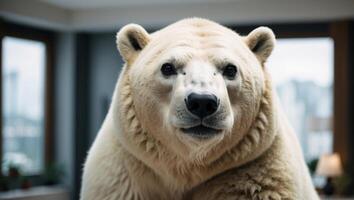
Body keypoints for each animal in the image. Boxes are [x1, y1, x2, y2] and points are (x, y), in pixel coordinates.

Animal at [81, 18, 320, 199]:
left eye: (230, 69)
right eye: (167, 67)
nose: (202, 102)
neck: (189, 167)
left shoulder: (252, 168)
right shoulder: (126, 171)